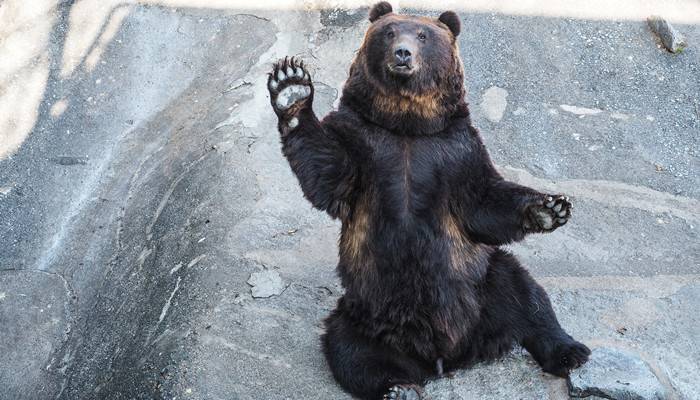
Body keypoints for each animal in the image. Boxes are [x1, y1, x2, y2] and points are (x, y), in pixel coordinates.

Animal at [266, 3, 588, 400]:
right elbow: (328, 171)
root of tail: (444, 357)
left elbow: (483, 203)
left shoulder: (456, 152)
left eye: (423, 35)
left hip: (481, 285)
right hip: (363, 313)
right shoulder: (362, 143)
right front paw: (291, 88)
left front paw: (549, 207)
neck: (407, 126)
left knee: (524, 294)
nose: (402, 53)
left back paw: (570, 351)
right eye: (389, 32)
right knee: (350, 350)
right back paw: (397, 387)